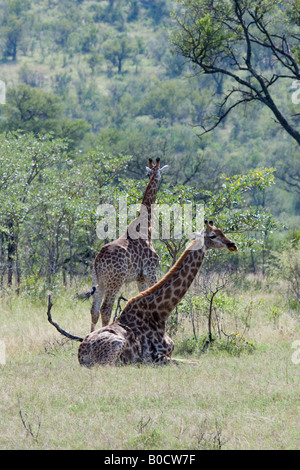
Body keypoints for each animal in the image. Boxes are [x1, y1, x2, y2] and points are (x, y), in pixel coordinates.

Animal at [77, 221, 237, 368]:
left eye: (223, 232)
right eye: (213, 235)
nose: (232, 245)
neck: (160, 313)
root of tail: (81, 356)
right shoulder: (155, 357)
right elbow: (195, 362)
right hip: (117, 344)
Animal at [81, 158, 169, 330]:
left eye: (148, 174)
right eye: (158, 174)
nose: (158, 180)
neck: (146, 226)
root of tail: (98, 260)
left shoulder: (140, 277)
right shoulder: (150, 270)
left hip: (99, 281)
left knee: (94, 310)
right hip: (115, 281)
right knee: (106, 309)